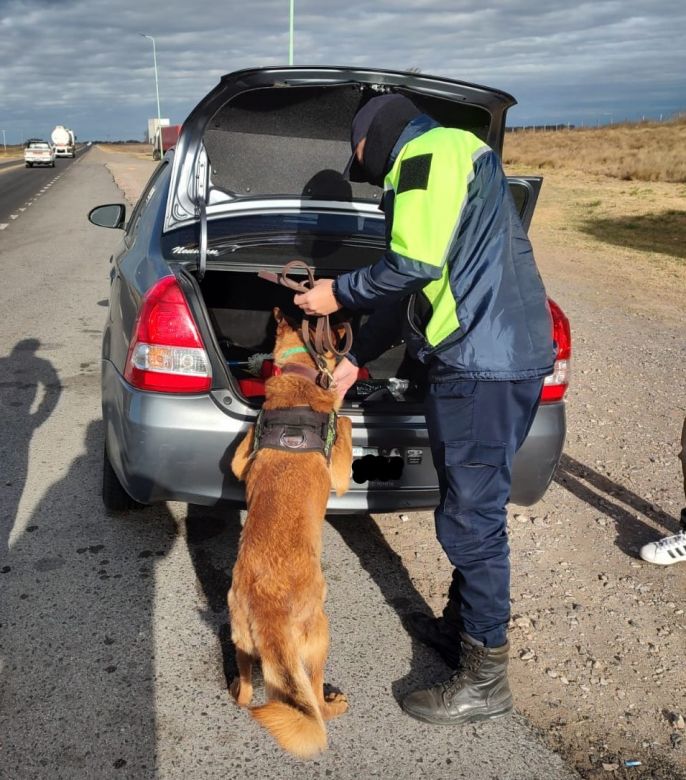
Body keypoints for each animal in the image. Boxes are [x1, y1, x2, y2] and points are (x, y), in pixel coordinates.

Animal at [230, 310, 352, 756]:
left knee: (247, 694)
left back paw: (238, 691)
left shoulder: (239, 458)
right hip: (321, 639)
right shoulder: (340, 475)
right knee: (314, 701)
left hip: (242, 646)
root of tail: (269, 611)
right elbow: (344, 420)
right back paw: (334, 705)